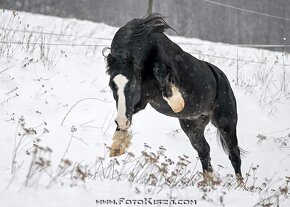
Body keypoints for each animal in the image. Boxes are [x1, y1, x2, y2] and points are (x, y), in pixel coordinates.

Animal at [105, 13, 244, 180]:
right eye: (112, 85)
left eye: (132, 85)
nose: (121, 121)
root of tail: (220, 76)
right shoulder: (140, 101)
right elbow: (128, 112)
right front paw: (117, 147)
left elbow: (160, 71)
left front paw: (178, 103)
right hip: (192, 126)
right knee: (204, 151)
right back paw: (207, 182)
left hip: (226, 123)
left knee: (234, 155)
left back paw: (240, 184)